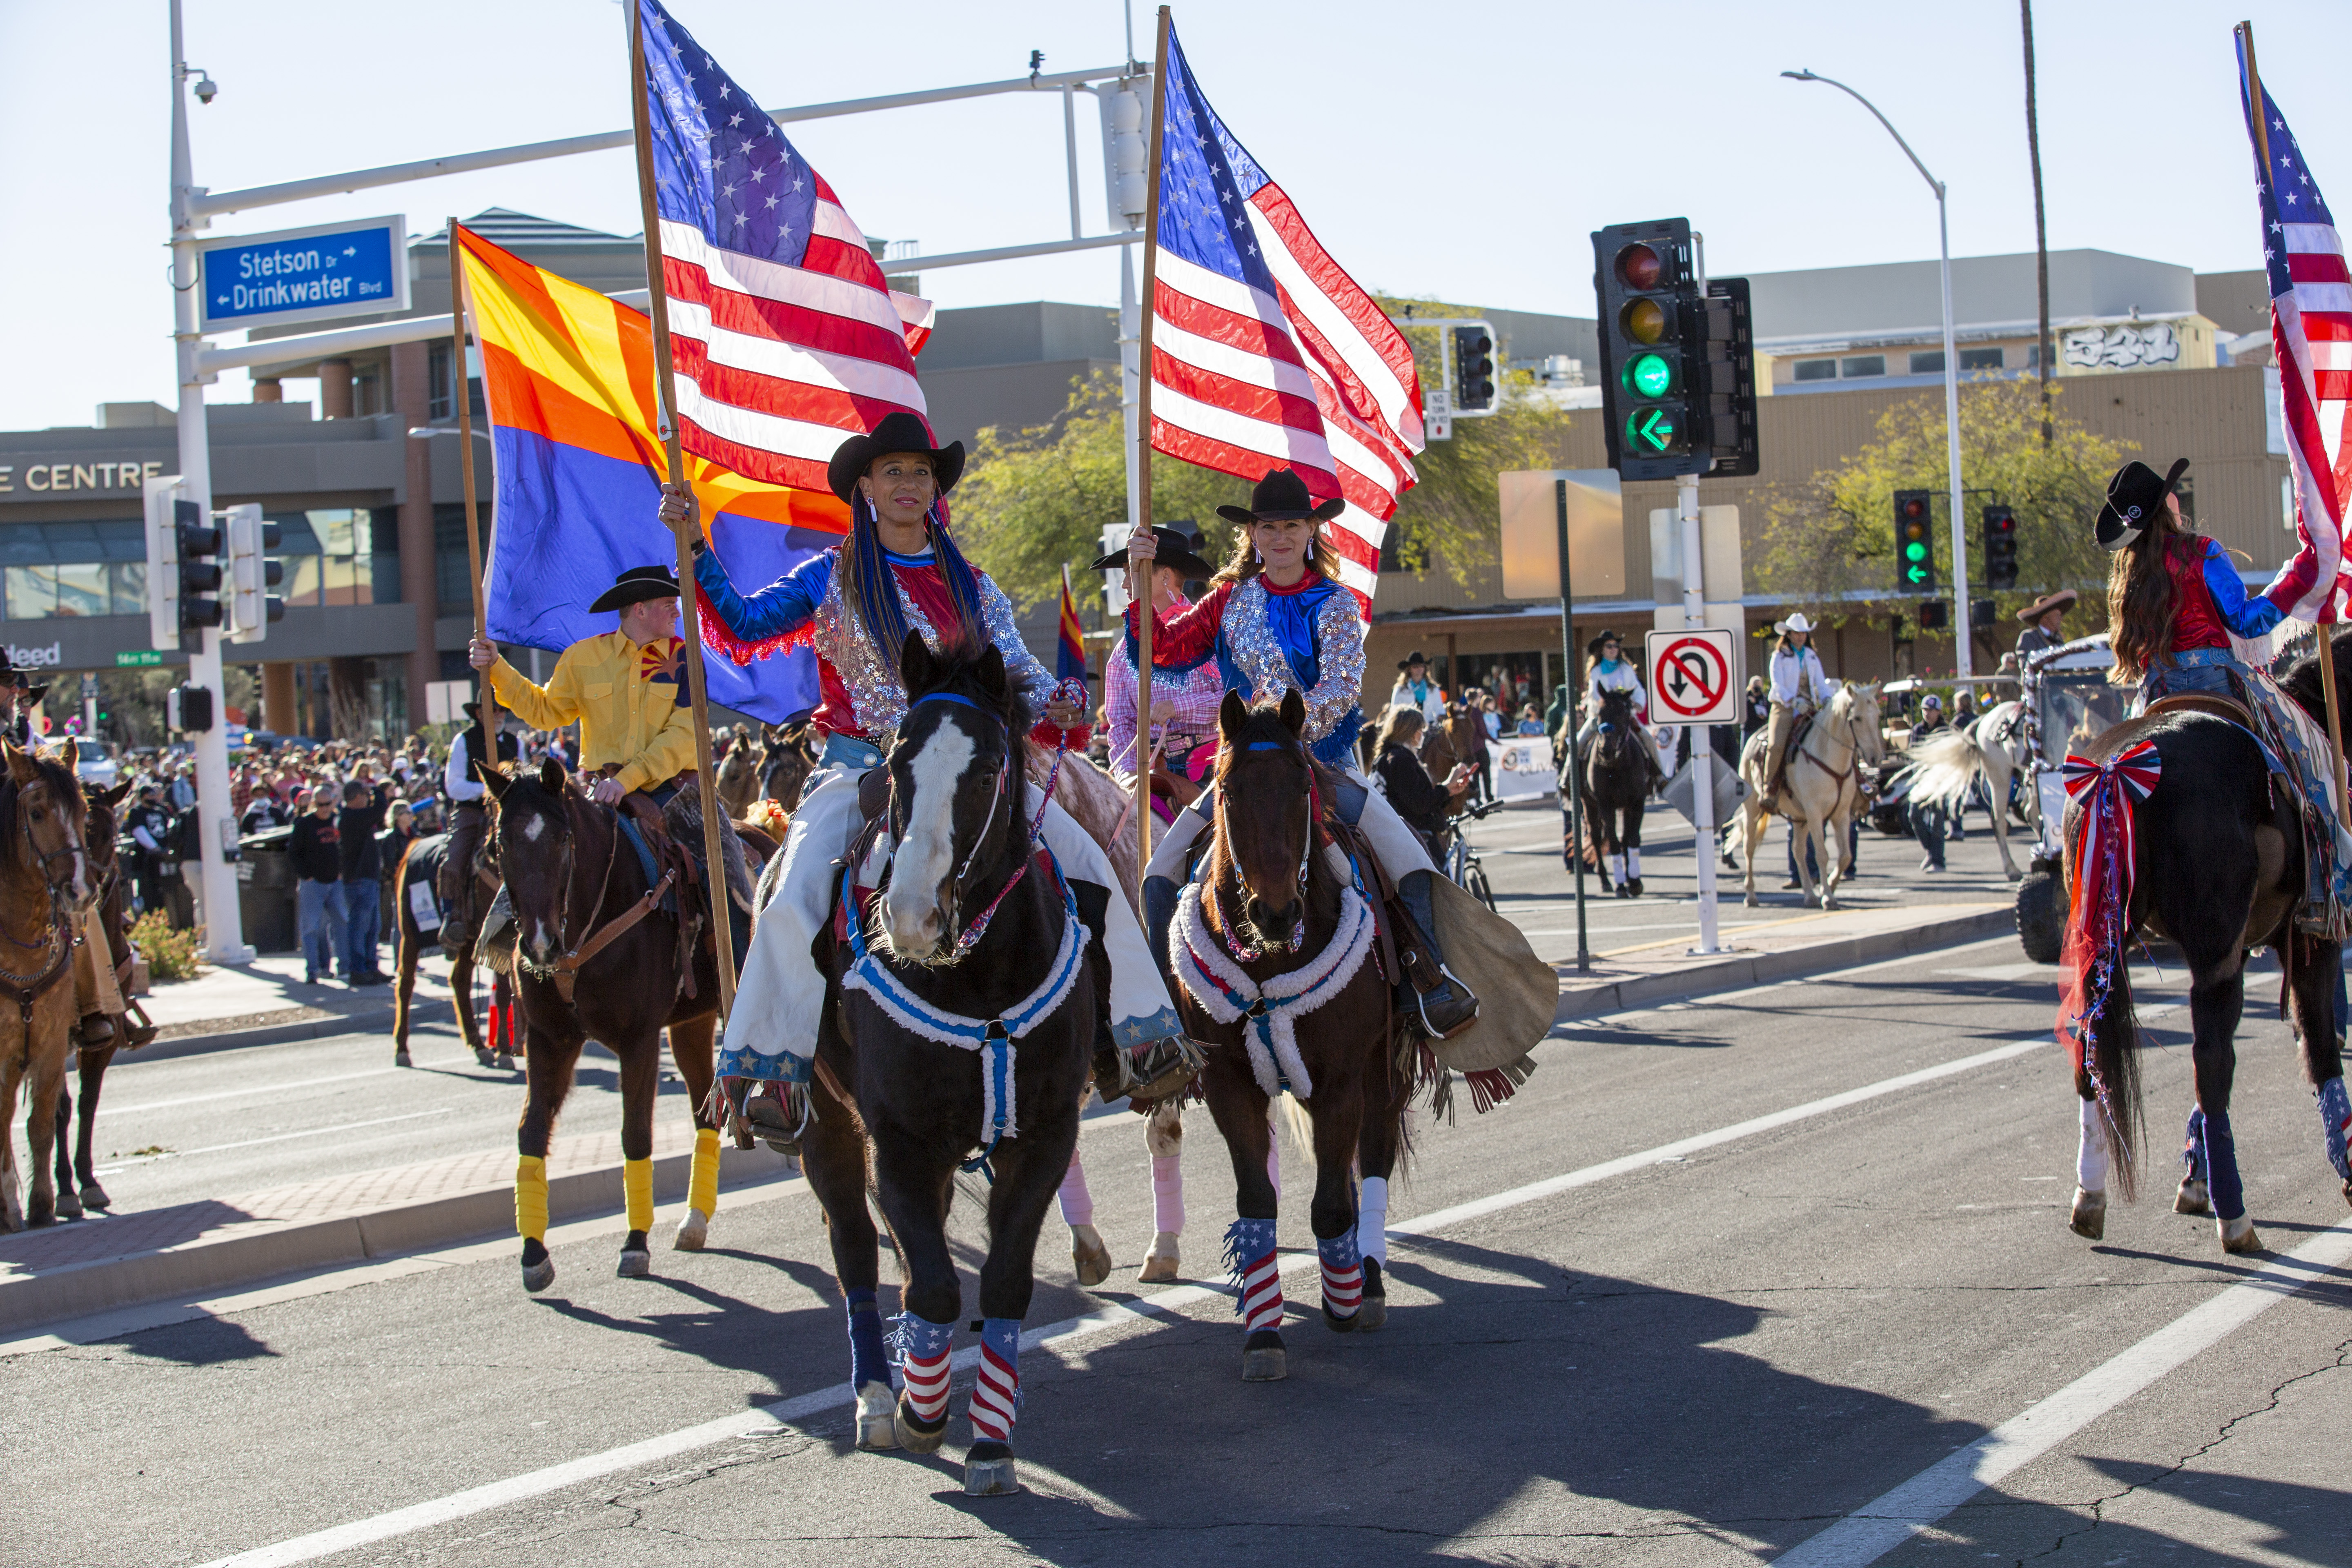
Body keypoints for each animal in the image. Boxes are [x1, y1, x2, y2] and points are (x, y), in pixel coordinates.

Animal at [482, 762, 719, 1288]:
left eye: (564, 839)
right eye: (500, 843)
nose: (540, 943)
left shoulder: (639, 1041)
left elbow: (636, 1135)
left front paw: (635, 1245)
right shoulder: (548, 1040)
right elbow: (531, 1131)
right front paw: (534, 1254)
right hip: (693, 1024)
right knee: (706, 1109)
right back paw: (695, 1220)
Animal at [1166, 691, 1401, 1382]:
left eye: (1302, 785)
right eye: (1227, 791)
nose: (1274, 913)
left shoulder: (1342, 1078)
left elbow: (1331, 1203)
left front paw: (1343, 1300)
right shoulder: (1228, 1083)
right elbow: (1257, 1201)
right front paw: (1264, 1335)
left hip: (1385, 1071)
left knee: (1373, 1157)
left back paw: (1367, 1282)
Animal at [1740, 682, 1882, 912]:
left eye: (1878, 715)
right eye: (1857, 718)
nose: (1876, 758)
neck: (1828, 755)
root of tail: (1754, 737)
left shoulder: (1841, 814)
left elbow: (1845, 856)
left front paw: (1830, 886)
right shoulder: (1815, 813)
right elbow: (1822, 854)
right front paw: (1828, 897)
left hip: (1800, 818)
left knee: (1798, 851)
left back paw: (1809, 895)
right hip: (1752, 809)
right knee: (1749, 848)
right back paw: (1751, 895)